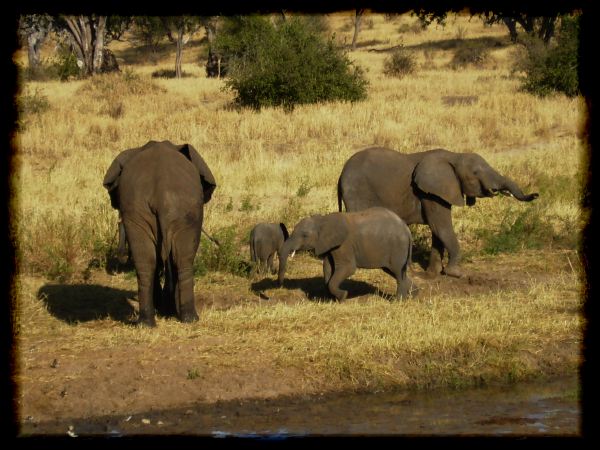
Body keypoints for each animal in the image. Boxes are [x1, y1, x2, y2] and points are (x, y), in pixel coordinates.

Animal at [102, 139, 216, 326]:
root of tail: (161, 195)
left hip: (143, 210)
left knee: (149, 261)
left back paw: (148, 322)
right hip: (182, 211)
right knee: (181, 260)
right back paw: (188, 318)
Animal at [278, 208, 414, 300]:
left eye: (305, 235)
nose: (280, 285)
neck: (323, 220)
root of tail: (407, 230)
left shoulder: (344, 244)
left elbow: (348, 268)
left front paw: (343, 296)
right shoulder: (329, 245)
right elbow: (327, 267)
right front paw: (332, 298)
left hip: (398, 248)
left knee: (398, 272)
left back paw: (398, 301)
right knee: (395, 271)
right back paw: (412, 295)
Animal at [338, 148, 540, 278]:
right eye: (475, 173)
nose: (536, 194)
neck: (454, 156)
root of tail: (340, 177)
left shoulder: (438, 193)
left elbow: (437, 231)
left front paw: (431, 274)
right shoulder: (430, 192)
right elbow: (441, 227)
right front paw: (456, 273)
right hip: (357, 192)